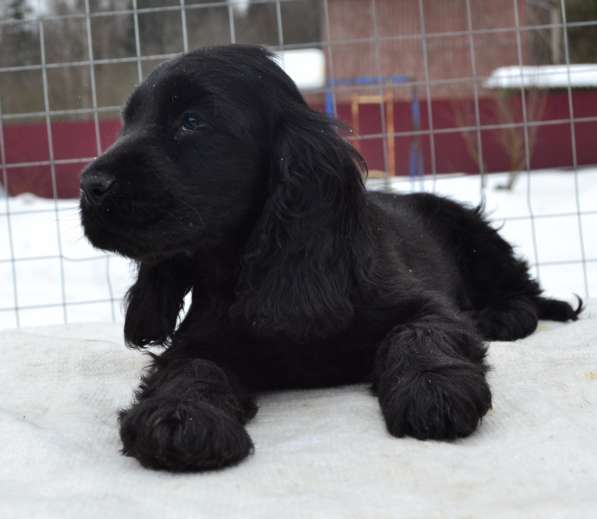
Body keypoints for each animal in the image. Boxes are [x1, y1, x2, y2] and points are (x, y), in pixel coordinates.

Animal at [80, 44, 584, 474]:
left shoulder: (425, 304)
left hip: (474, 231)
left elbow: (420, 332)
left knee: (523, 286)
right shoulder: (198, 338)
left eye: (190, 121)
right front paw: (179, 416)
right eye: (127, 123)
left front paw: (433, 388)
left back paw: (504, 315)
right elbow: (188, 367)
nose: (90, 185)